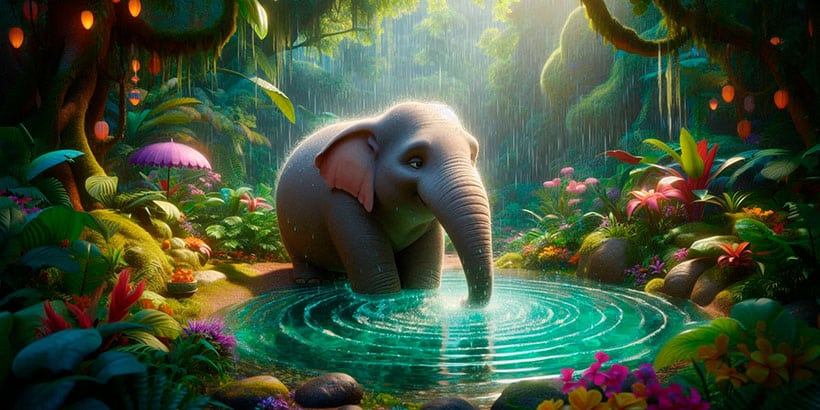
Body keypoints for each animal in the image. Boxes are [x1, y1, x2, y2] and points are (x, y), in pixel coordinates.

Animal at [275, 102, 493, 306]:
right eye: (416, 163)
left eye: (472, 156)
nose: (462, 302)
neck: (376, 121)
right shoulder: (341, 199)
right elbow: (377, 280)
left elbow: (422, 274)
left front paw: (422, 295)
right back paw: (310, 281)